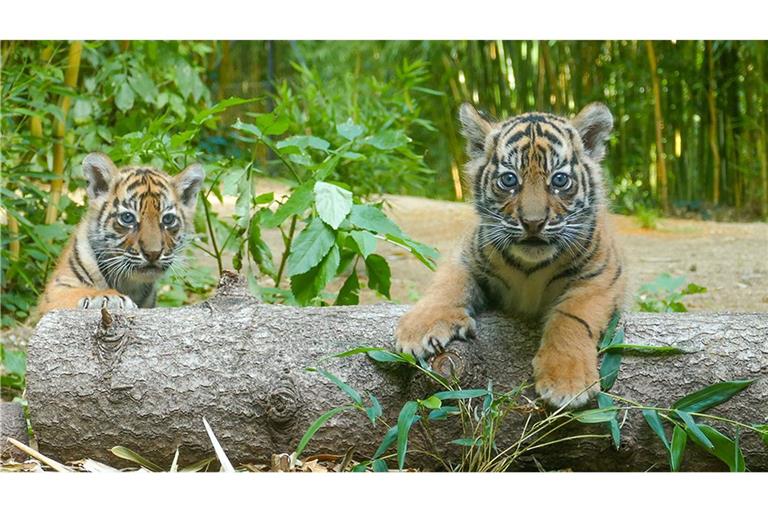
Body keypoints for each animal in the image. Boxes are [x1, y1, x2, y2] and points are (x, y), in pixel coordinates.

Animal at [36, 152, 204, 315]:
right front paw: (107, 297)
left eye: (168, 219)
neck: (129, 283)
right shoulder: (56, 289)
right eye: (127, 217)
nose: (153, 254)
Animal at [396, 102, 626, 409]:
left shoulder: (602, 276)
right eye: (509, 180)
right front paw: (417, 330)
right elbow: (446, 287)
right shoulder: (465, 258)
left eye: (559, 180)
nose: (533, 223)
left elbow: (572, 317)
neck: (531, 266)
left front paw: (567, 381)